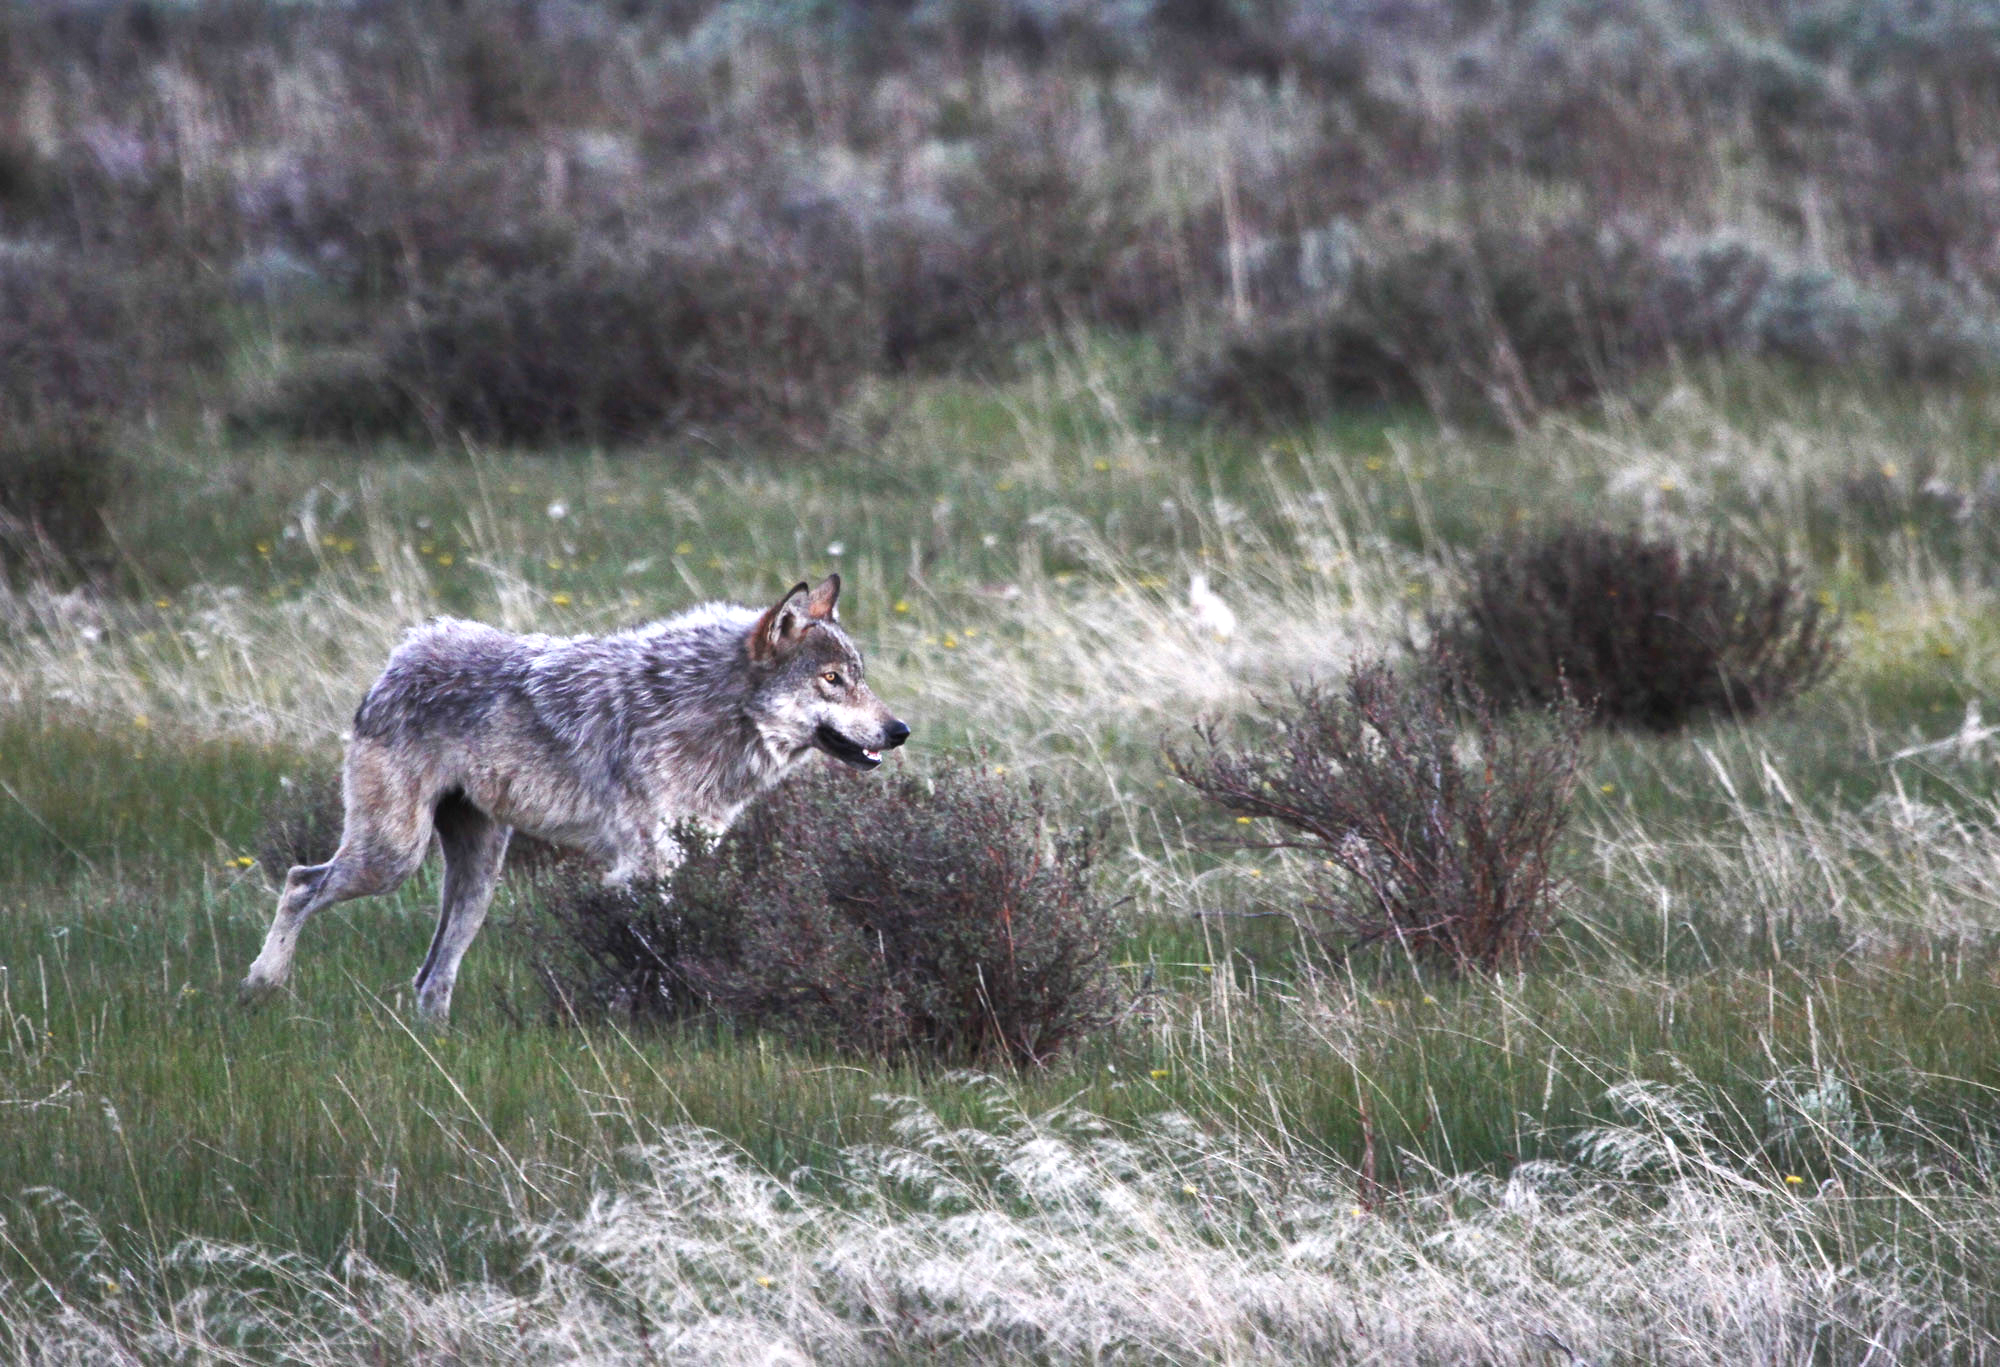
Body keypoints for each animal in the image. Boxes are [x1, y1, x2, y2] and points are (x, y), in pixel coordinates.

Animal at [240, 574, 907, 1023]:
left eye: (860, 678)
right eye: (832, 680)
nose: (899, 730)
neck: (712, 711)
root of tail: (403, 652)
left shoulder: (685, 858)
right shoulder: (645, 866)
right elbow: (656, 948)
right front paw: (659, 1017)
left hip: (478, 879)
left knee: (431, 974)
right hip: (393, 859)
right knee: (300, 882)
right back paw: (263, 983)